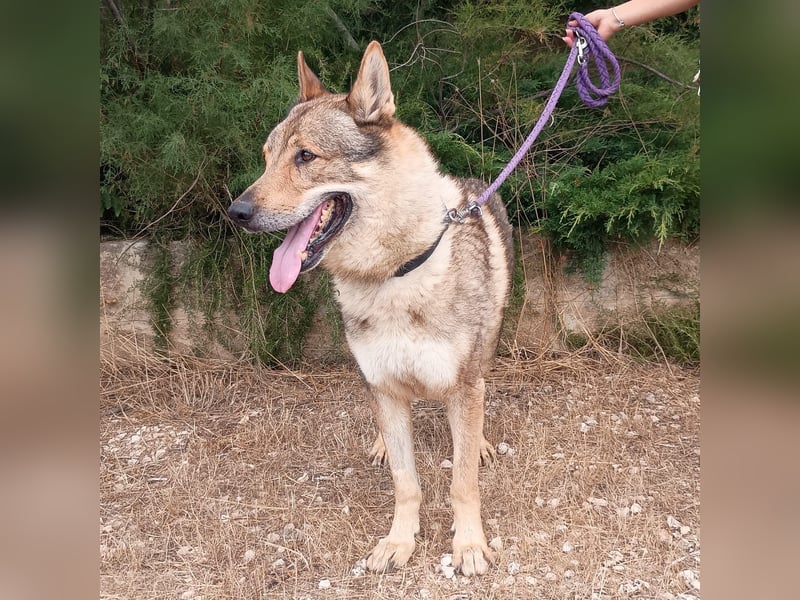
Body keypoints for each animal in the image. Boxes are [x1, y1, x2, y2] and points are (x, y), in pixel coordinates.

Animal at [227, 41, 514, 576]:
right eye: (267, 158)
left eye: (305, 156)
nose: (236, 212)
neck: (394, 274)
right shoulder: (381, 385)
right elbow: (406, 481)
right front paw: (400, 541)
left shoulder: (463, 386)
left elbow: (462, 481)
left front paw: (468, 544)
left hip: (487, 350)